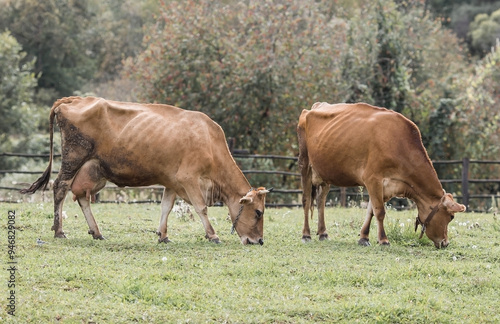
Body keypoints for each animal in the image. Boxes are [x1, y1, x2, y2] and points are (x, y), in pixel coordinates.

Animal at [20, 96, 270, 246]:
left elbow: (166, 208)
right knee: (60, 187)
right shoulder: (189, 179)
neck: (209, 140)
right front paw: (213, 235)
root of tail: (76, 99)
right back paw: (59, 230)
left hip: (92, 169)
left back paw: (96, 231)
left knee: (82, 196)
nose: (259, 241)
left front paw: (163, 235)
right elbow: (201, 208)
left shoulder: (172, 182)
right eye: (258, 212)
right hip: (73, 158)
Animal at [296, 102, 464, 248]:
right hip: (304, 163)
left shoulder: (383, 185)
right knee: (306, 200)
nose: (445, 243)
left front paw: (364, 238)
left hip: (325, 172)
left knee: (321, 201)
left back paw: (323, 233)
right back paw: (306, 235)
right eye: (451, 217)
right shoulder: (373, 178)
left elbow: (371, 211)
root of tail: (314, 107)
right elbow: (380, 211)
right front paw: (383, 240)